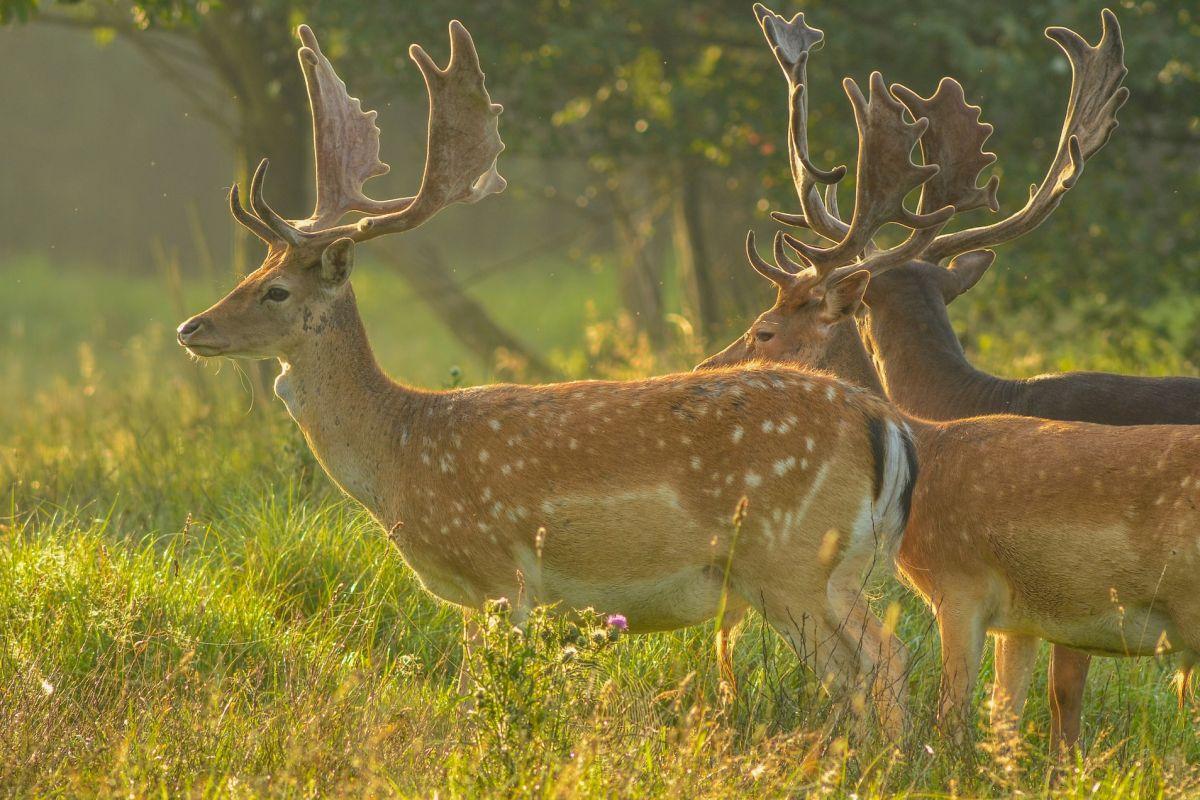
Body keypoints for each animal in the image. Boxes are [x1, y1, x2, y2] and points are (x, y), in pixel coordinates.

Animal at [174, 18, 916, 734]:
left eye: (276, 291)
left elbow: (474, 701)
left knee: (876, 661)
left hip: (790, 560)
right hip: (836, 569)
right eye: (253, 271)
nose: (191, 328)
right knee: (877, 663)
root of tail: (885, 423)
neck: (398, 453)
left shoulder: (498, 575)